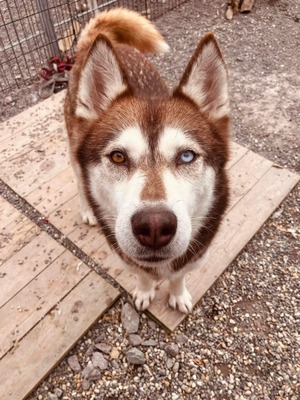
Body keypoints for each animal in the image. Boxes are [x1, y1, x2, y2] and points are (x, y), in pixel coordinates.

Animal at [65, 7, 230, 312]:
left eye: (186, 156)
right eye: (118, 156)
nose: (154, 226)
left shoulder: (194, 256)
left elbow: (178, 276)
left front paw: (177, 295)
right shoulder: (125, 256)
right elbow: (141, 275)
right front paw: (144, 292)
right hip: (73, 149)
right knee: (80, 182)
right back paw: (87, 209)